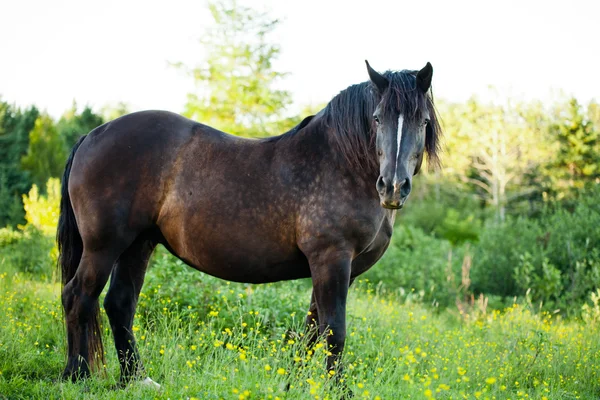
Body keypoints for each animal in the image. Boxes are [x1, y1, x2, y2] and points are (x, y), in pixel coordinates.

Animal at [56, 61, 440, 386]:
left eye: (422, 121)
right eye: (376, 119)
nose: (393, 187)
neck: (341, 163)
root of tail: (93, 135)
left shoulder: (340, 270)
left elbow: (311, 330)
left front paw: (292, 385)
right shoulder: (331, 260)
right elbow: (334, 331)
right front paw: (336, 390)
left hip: (138, 244)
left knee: (119, 304)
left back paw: (136, 379)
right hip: (104, 246)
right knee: (78, 296)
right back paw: (77, 376)